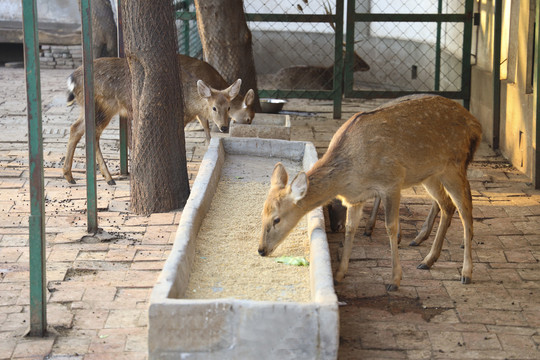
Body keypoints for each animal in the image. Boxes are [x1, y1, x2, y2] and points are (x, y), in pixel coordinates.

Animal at [62, 55, 256, 188]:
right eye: (214, 107)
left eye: (228, 107)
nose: (224, 127)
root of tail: (72, 79)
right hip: (104, 105)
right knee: (90, 132)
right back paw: (106, 178)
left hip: (90, 107)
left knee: (76, 128)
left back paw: (71, 176)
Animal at [260, 94, 484, 292]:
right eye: (262, 215)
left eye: (277, 219)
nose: (261, 249)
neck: (349, 174)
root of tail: (476, 125)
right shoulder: (356, 198)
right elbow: (350, 228)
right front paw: (339, 274)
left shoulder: (392, 181)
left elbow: (390, 227)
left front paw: (395, 280)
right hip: (430, 174)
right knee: (447, 205)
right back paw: (427, 260)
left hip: (454, 165)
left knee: (466, 209)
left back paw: (466, 272)